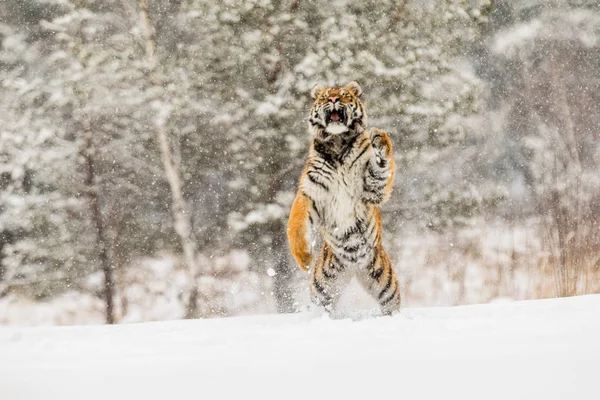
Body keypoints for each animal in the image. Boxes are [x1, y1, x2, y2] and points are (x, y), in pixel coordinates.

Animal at [284, 79, 400, 314]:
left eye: (345, 95)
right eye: (324, 96)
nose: (334, 99)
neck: (337, 143)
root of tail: (354, 269)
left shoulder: (370, 188)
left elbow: (382, 167)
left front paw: (380, 138)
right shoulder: (311, 193)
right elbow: (295, 224)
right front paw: (304, 259)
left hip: (386, 283)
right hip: (324, 285)